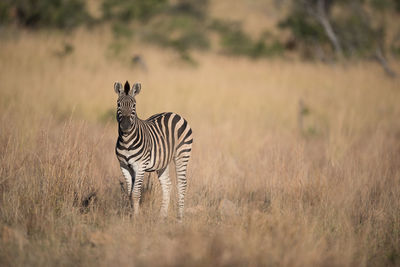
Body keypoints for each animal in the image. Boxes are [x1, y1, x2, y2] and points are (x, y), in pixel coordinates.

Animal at [113, 81, 193, 220]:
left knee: (182, 184)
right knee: (167, 185)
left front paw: (136, 219)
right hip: (163, 161)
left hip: (182, 154)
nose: (125, 126)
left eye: (134, 105)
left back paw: (179, 218)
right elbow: (129, 194)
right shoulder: (124, 166)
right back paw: (162, 217)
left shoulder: (140, 165)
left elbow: (135, 194)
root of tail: (174, 114)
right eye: (118, 104)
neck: (127, 140)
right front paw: (132, 217)